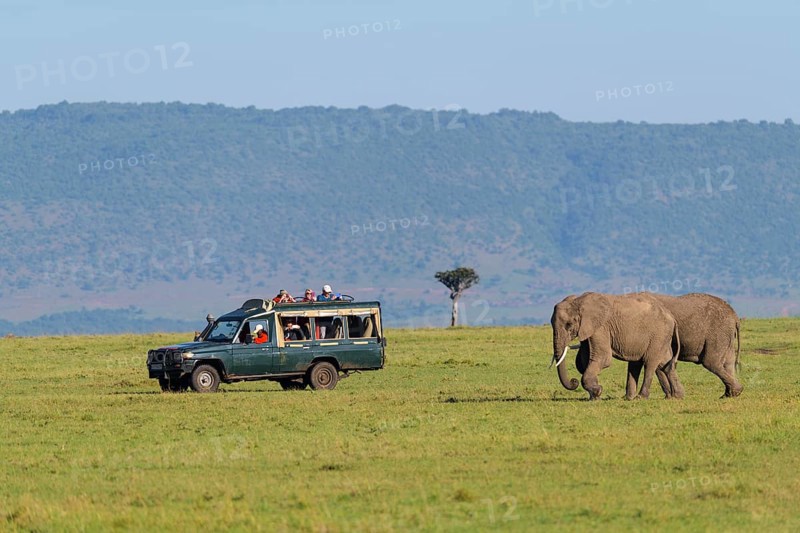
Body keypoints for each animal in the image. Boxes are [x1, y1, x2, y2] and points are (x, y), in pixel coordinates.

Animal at [550, 292, 680, 400]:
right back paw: (675, 396)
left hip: (658, 334)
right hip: (661, 337)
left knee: (650, 362)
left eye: (568, 324)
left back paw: (641, 397)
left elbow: (603, 358)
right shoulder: (589, 330)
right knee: (662, 363)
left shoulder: (601, 327)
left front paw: (598, 391)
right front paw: (594, 396)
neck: (579, 301)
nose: (574, 381)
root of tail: (672, 317)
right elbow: (584, 361)